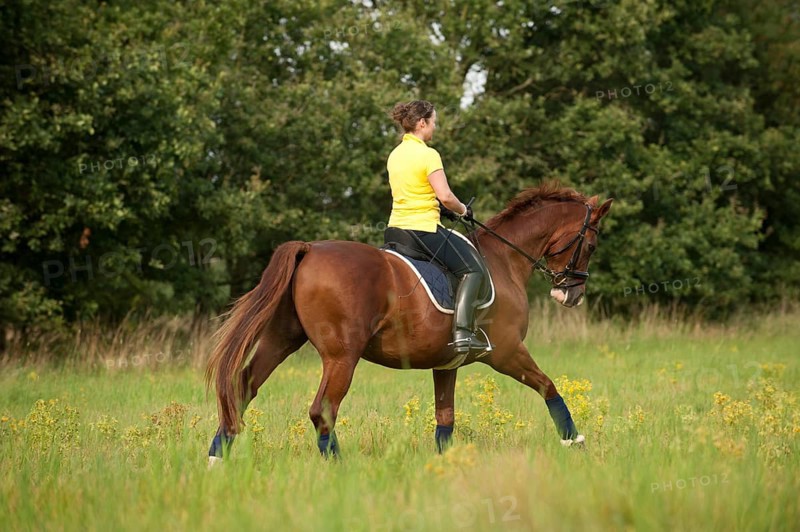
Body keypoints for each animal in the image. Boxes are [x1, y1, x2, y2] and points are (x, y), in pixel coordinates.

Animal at [205, 183, 613, 462]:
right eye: (592, 245)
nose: (571, 295)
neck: (504, 259)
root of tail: (310, 250)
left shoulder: (446, 364)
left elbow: (445, 417)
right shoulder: (507, 351)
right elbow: (548, 386)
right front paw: (573, 439)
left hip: (281, 340)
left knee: (241, 388)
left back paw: (216, 456)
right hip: (341, 356)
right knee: (322, 409)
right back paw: (338, 466)